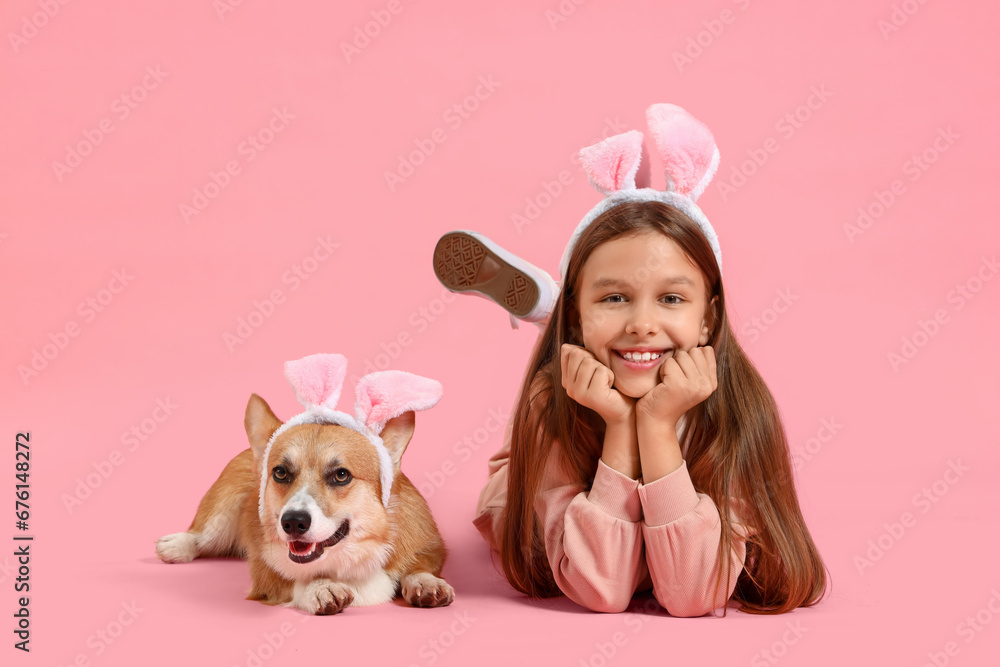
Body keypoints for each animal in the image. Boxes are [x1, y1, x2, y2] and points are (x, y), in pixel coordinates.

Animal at [156, 354, 454, 616]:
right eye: (280, 473)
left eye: (341, 475)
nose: (293, 522)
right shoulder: (266, 574)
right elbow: (297, 580)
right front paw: (321, 587)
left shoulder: (430, 547)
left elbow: (419, 566)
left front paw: (426, 582)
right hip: (223, 511)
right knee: (201, 535)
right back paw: (176, 545)